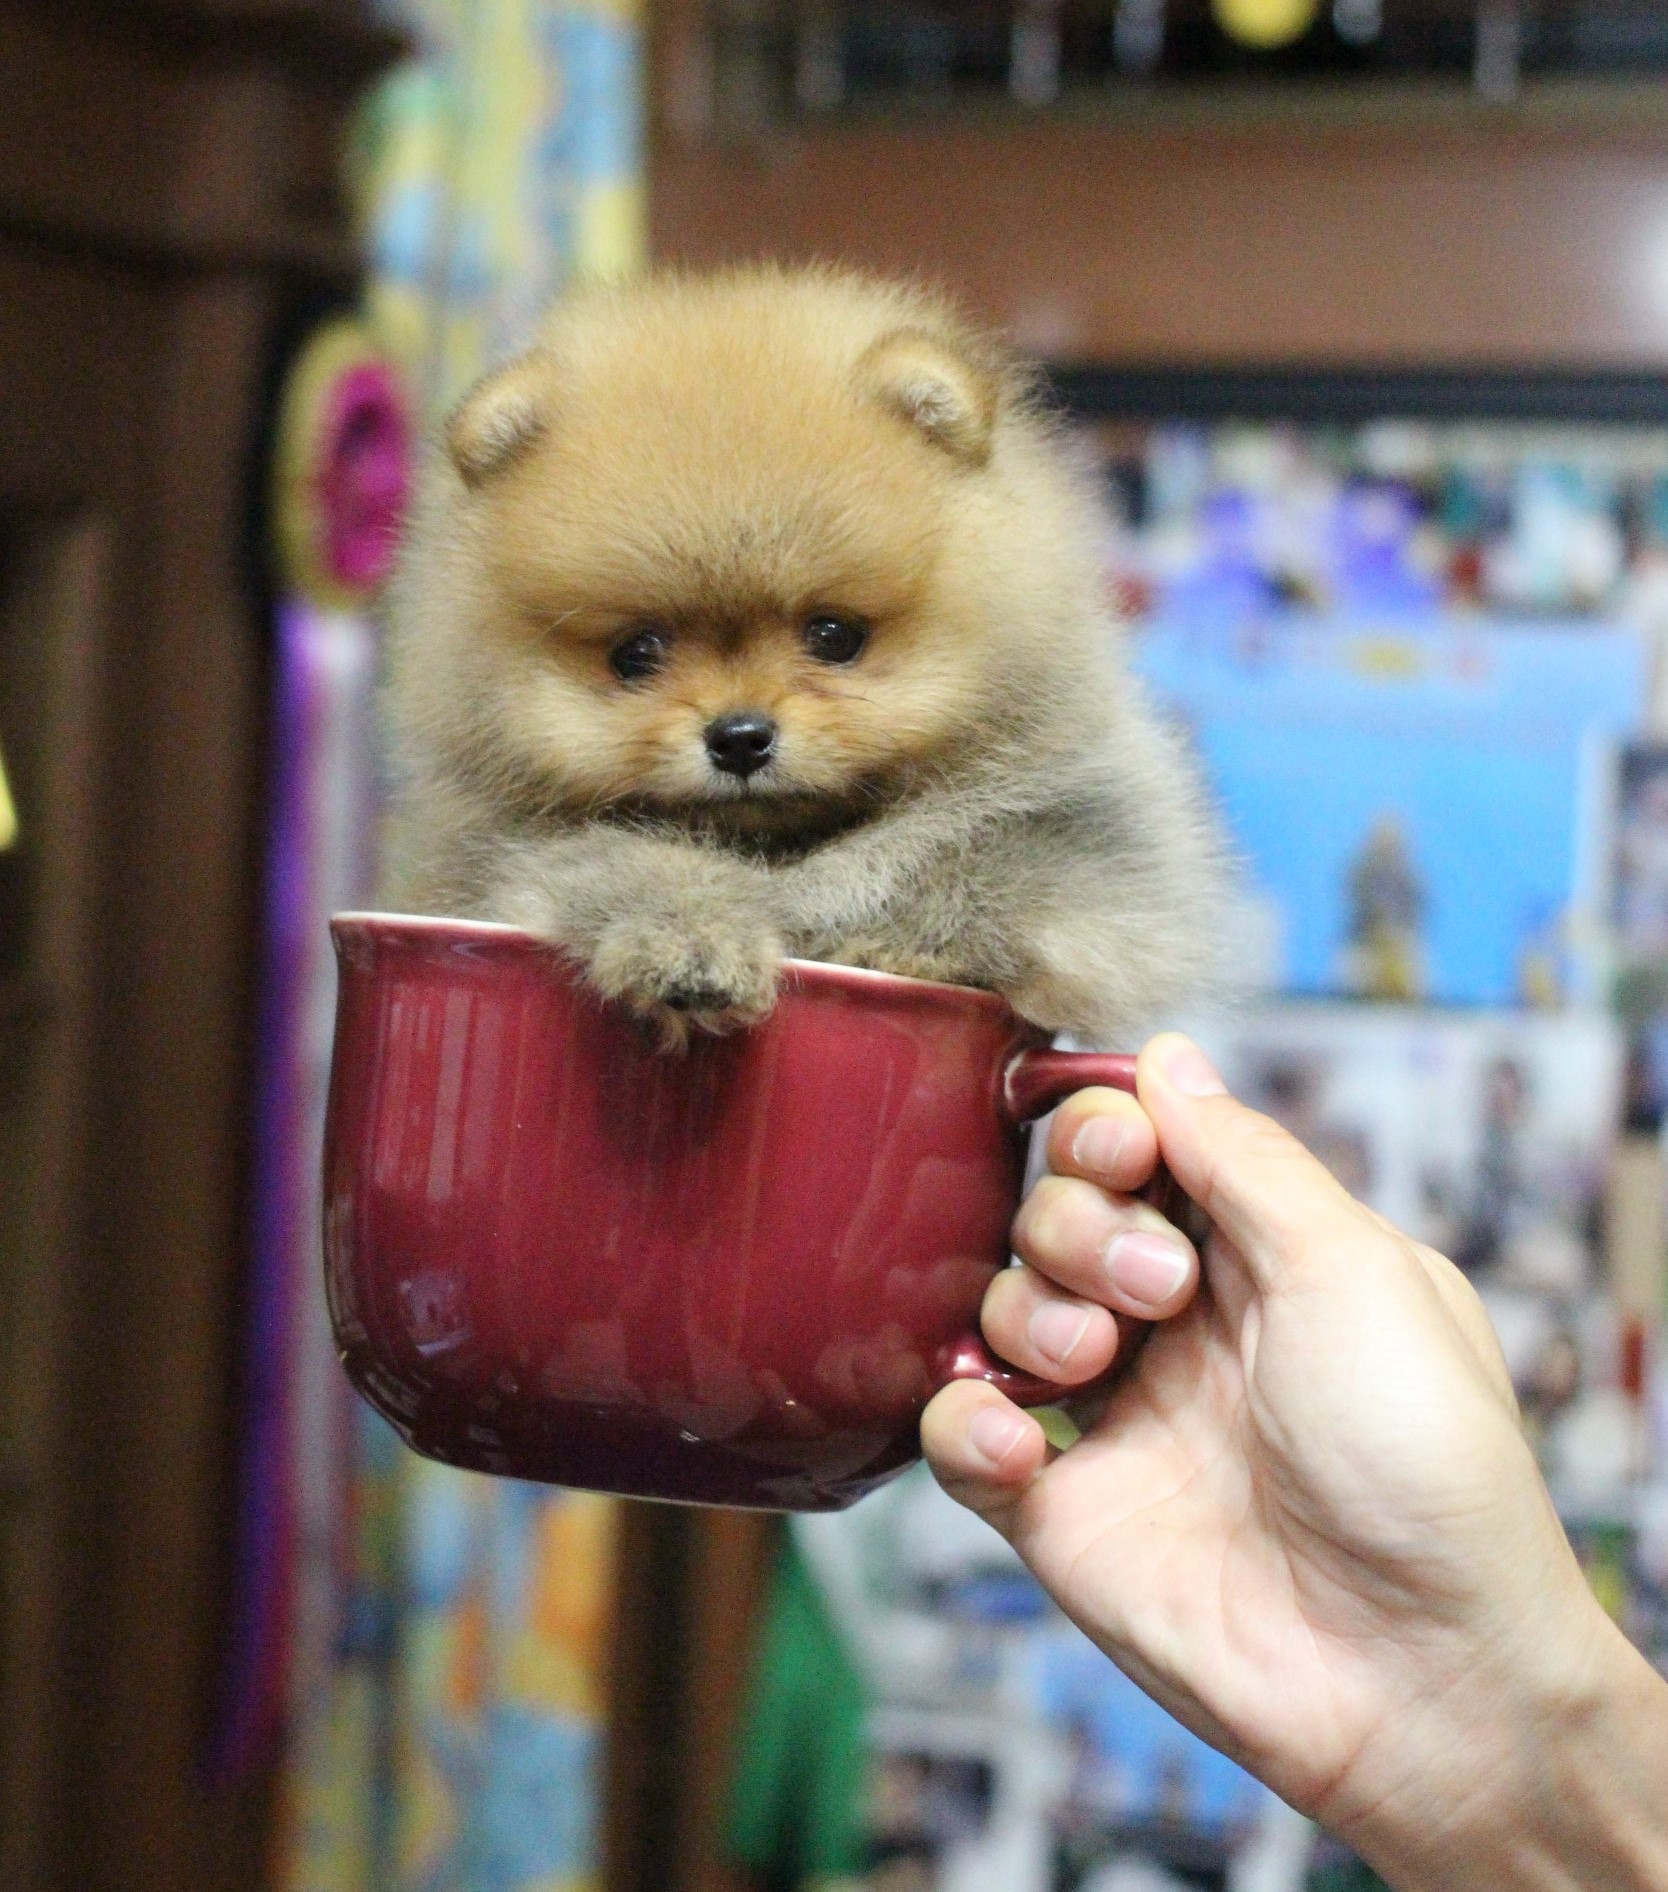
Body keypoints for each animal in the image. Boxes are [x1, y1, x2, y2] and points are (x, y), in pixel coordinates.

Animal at [381, 265, 1224, 1047]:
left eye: (833, 635)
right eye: (636, 653)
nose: (739, 737)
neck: (784, 851)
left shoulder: (1087, 823)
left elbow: (981, 863)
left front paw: (889, 939)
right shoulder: (508, 846)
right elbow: (626, 863)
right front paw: (691, 945)